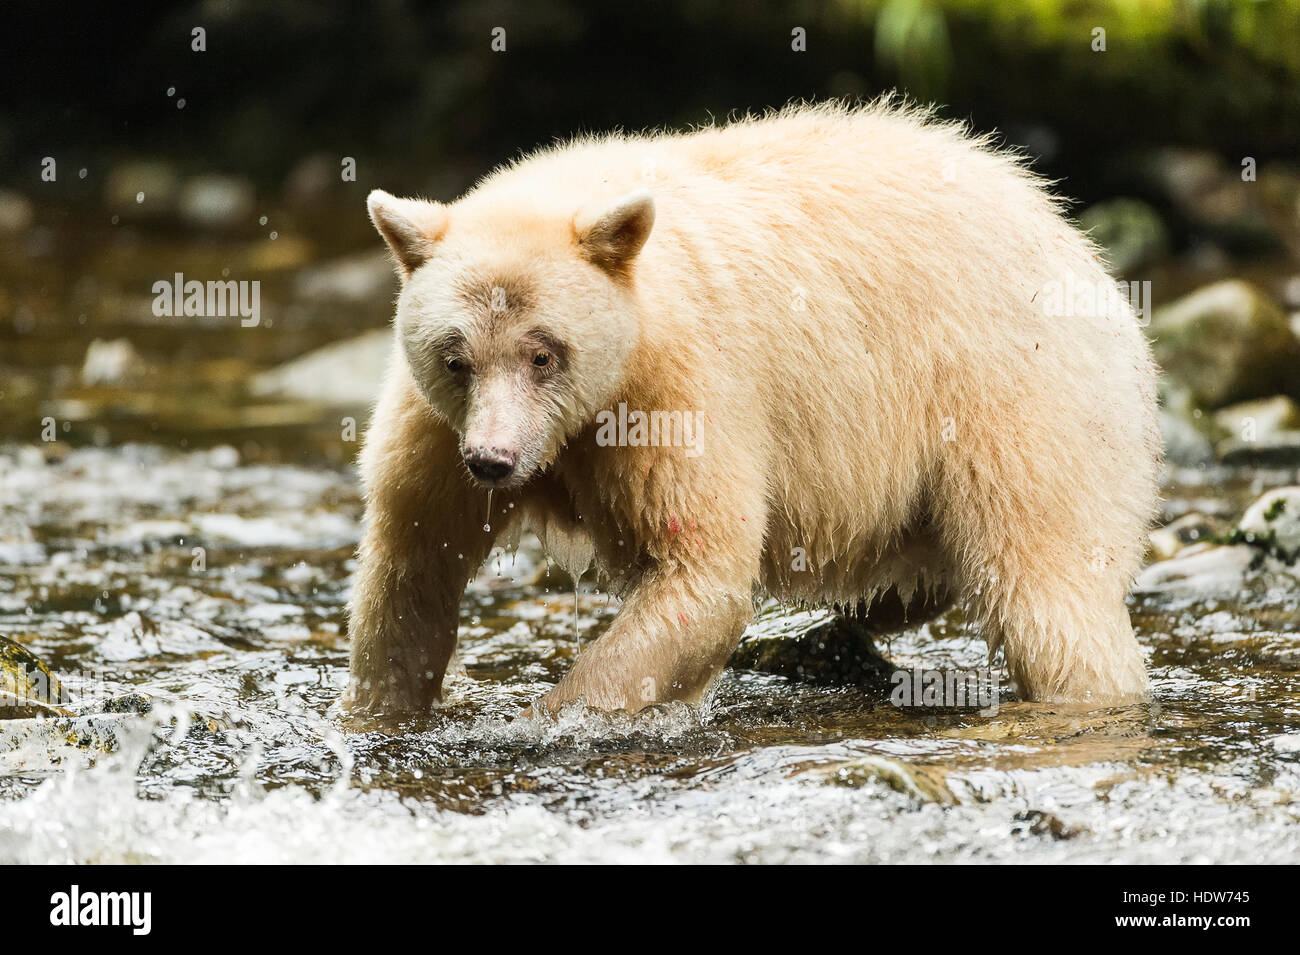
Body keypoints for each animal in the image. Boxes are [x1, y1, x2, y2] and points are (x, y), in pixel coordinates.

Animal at [345, 102, 1159, 717]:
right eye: (455, 357)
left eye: (543, 353)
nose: (493, 459)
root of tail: (1082, 252)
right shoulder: (434, 429)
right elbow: (413, 562)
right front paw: (381, 713)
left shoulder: (678, 390)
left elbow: (701, 572)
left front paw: (551, 717)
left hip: (1018, 397)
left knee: (1049, 587)